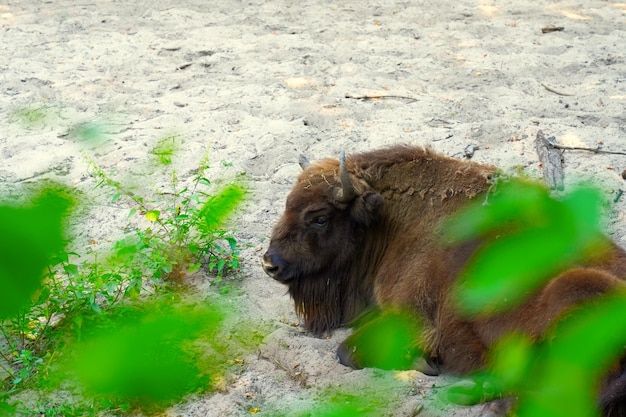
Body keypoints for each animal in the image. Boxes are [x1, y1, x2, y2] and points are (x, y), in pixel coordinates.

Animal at [260, 145, 624, 414]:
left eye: (319, 218)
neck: (393, 222)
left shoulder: (412, 317)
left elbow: (346, 352)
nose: (269, 263)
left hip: (576, 289)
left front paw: (423, 363)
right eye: (287, 205)